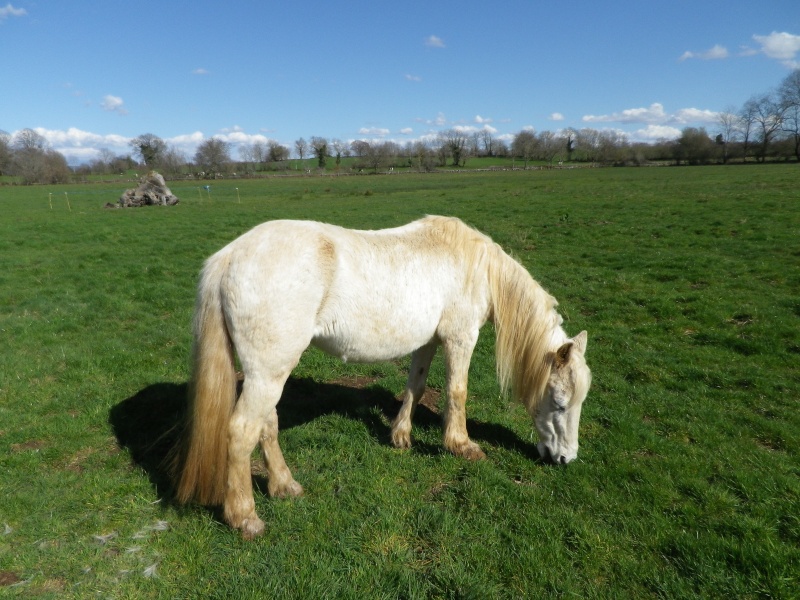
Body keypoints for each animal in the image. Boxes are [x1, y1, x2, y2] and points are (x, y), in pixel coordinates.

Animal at [173, 216, 588, 540]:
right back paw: (245, 517)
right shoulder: (460, 337)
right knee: (242, 431)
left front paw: (400, 436)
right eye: (560, 403)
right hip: (268, 373)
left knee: (266, 425)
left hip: (269, 371)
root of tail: (229, 257)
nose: (566, 458)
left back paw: (284, 486)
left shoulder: (428, 340)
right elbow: (457, 391)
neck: (475, 265)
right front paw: (461, 445)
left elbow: (416, 385)